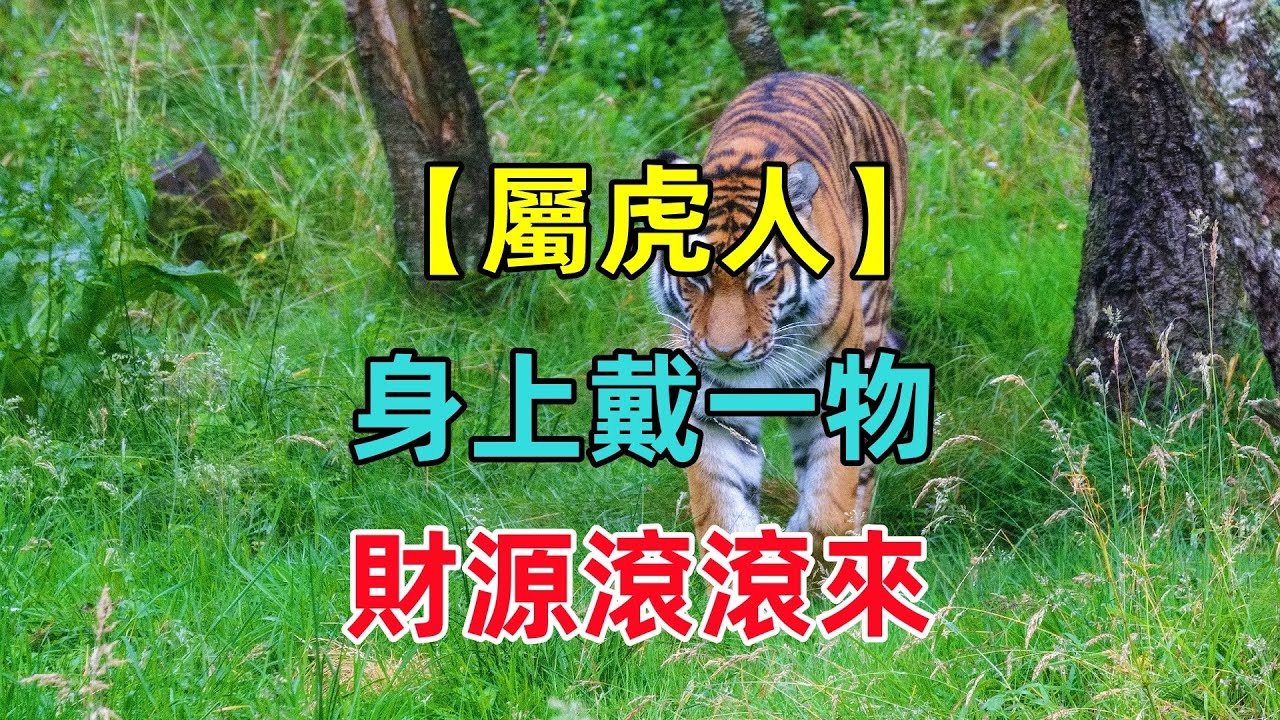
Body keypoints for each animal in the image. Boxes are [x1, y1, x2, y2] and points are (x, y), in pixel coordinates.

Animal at [650, 71, 908, 545]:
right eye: (697, 277)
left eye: (761, 277)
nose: (725, 351)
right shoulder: (711, 408)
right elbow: (722, 504)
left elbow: (828, 503)